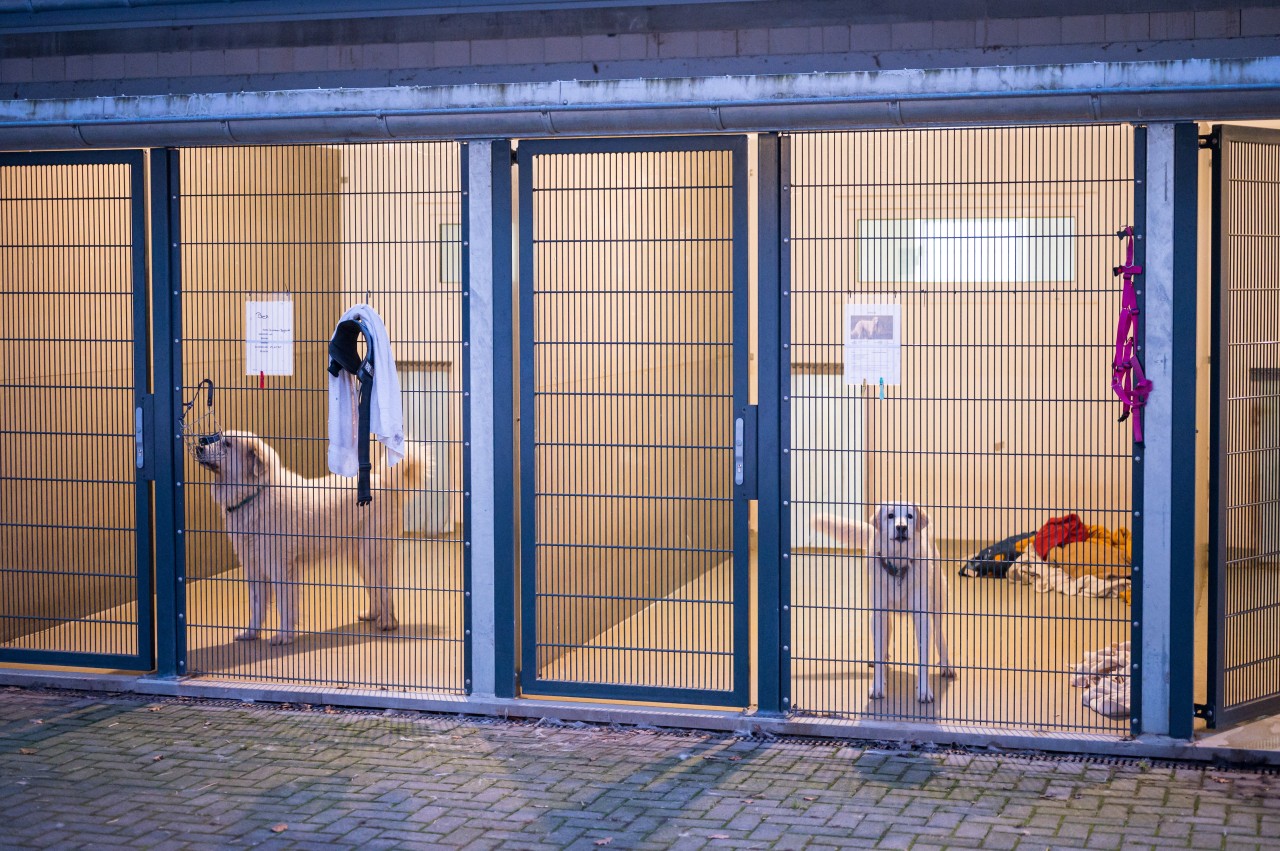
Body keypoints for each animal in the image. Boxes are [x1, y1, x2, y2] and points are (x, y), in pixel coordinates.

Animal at [195, 432, 430, 644]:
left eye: (227, 444)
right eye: (218, 438)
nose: (198, 447)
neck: (255, 495)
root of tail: (383, 480)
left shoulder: (281, 568)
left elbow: (284, 605)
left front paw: (284, 636)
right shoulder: (254, 568)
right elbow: (256, 606)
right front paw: (251, 633)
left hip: (373, 553)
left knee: (385, 588)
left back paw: (388, 622)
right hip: (360, 558)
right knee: (374, 588)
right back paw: (373, 615)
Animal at [808, 501, 952, 701]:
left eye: (909, 516)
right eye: (890, 516)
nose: (901, 527)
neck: (898, 567)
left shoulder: (922, 618)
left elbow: (923, 657)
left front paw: (924, 690)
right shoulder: (879, 614)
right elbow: (878, 651)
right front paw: (877, 685)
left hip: (937, 603)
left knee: (940, 635)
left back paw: (946, 664)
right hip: (878, 617)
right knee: (884, 640)